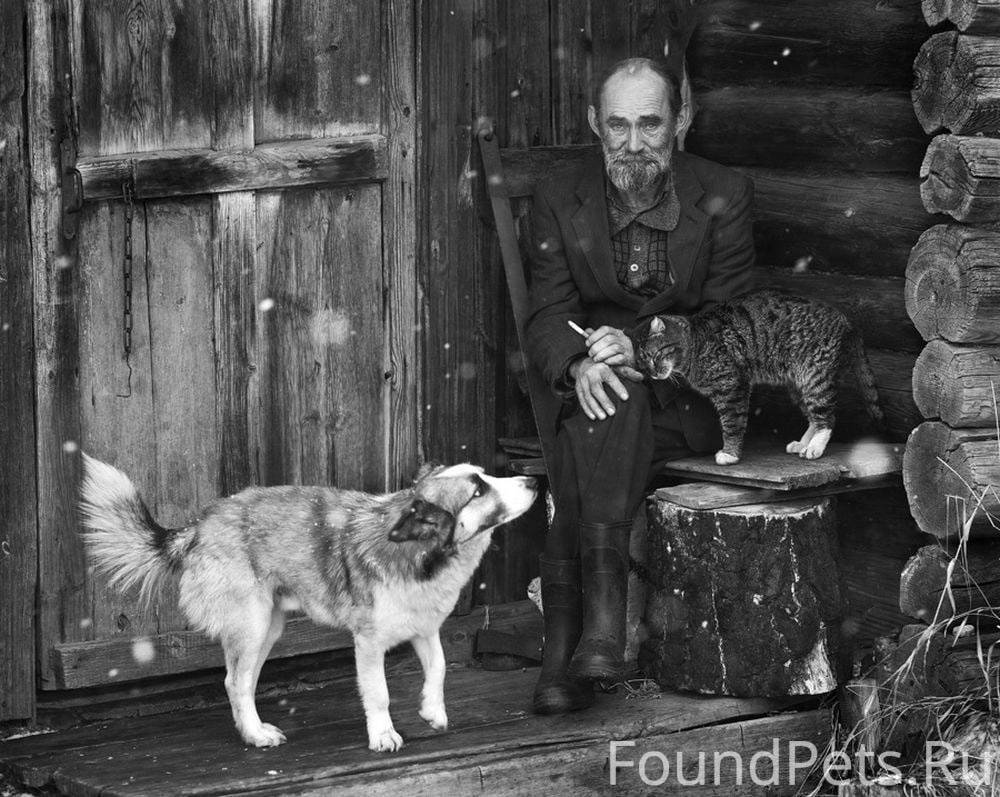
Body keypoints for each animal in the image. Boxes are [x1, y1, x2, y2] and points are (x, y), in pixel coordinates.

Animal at [78, 454, 540, 752]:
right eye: (478, 490)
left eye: (485, 476)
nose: (536, 482)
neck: (419, 554)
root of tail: (198, 525)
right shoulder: (368, 643)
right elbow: (379, 692)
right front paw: (383, 735)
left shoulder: (424, 628)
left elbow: (440, 667)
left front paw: (432, 710)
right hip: (252, 623)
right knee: (234, 682)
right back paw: (257, 737)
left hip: (268, 627)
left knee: (241, 681)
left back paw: (253, 730)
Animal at [632, 288, 884, 464]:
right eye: (642, 361)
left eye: (654, 355)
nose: (652, 373)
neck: (695, 343)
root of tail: (844, 319)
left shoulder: (732, 387)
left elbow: (732, 422)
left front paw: (730, 454)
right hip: (798, 384)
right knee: (813, 416)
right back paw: (803, 443)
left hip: (814, 376)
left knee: (827, 418)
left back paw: (815, 448)